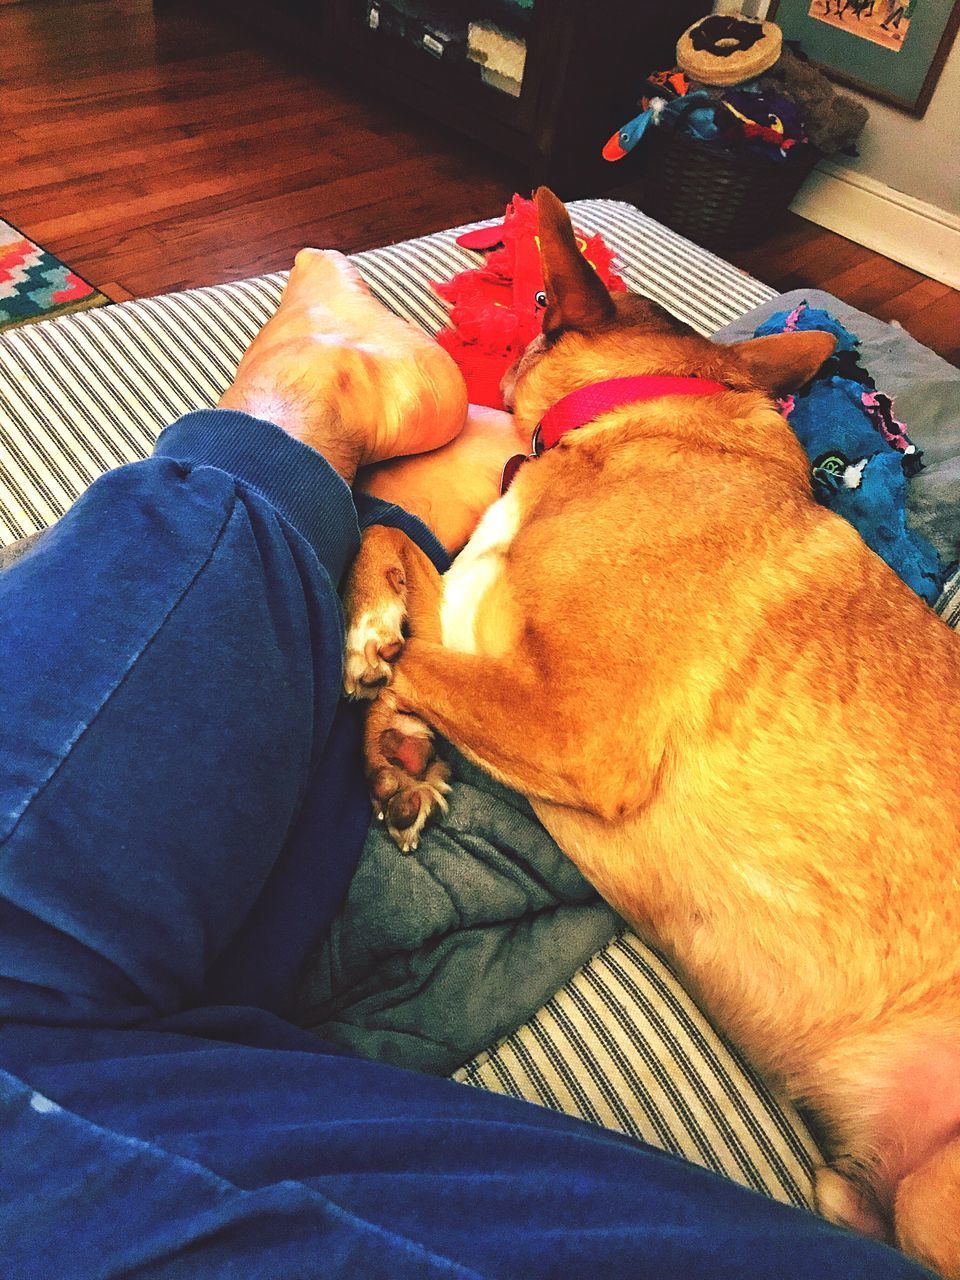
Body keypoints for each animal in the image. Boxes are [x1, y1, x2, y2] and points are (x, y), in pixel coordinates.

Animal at [345, 189, 960, 1280]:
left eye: (536, 300)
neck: (643, 416)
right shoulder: (480, 620)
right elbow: (398, 553)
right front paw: (398, 748)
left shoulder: (578, 728)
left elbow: (409, 616)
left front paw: (373, 660)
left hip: (942, 1189)